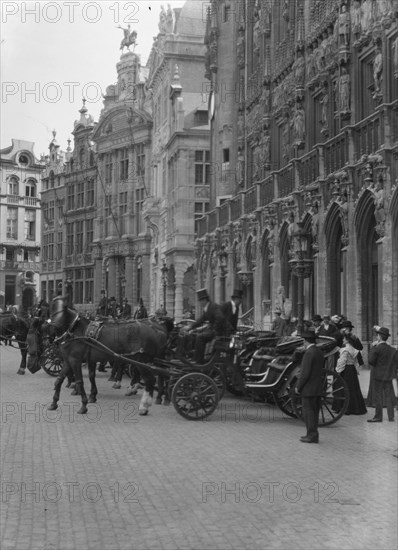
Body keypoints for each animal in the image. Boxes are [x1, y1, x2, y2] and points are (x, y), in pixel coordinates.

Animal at [37, 300, 171, 416]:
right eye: (50, 313)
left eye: (57, 313)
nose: (48, 336)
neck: (74, 330)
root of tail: (157, 327)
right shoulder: (68, 360)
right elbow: (59, 380)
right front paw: (54, 403)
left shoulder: (75, 360)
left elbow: (80, 381)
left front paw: (84, 405)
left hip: (141, 360)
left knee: (149, 380)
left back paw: (144, 405)